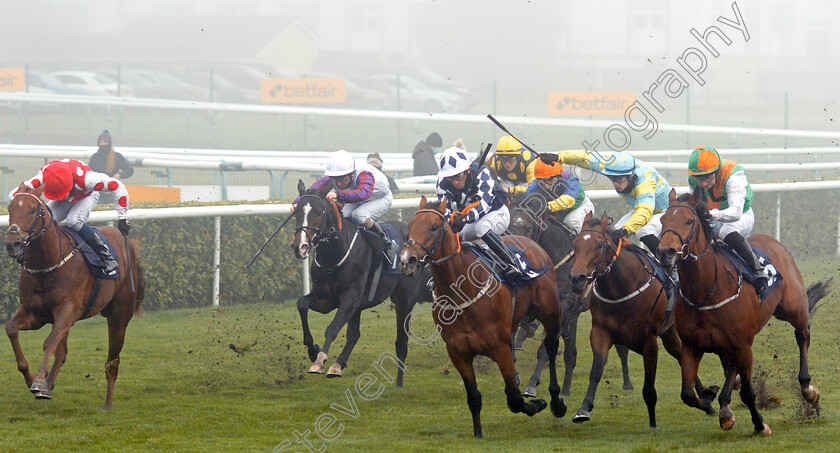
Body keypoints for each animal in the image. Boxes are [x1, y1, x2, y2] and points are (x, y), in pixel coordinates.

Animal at [2, 184, 144, 410]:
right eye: (10, 208)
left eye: (32, 210)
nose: (12, 243)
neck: (47, 265)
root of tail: (128, 245)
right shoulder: (34, 313)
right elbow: (11, 329)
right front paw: (33, 379)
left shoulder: (67, 308)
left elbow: (49, 342)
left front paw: (39, 381)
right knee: (63, 352)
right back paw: (49, 385)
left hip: (119, 316)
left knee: (112, 362)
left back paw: (107, 404)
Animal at [398, 197, 568, 438]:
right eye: (410, 227)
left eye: (434, 227)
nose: (407, 260)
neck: (462, 290)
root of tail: (532, 243)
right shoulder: (458, 352)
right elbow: (474, 397)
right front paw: (478, 433)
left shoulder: (500, 346)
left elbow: (514, 399)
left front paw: (537, 404)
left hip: (551, 313)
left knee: (551, 348)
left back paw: (556, 401)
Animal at [506, 193, 632, 396]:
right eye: (507, 225)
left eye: (528, 227)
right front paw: (515, 375)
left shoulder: (564, 307)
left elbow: (545, 348)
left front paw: (531, 384)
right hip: (574, 316)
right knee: (570, 354)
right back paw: (565, 389)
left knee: (621, 348)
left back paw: (627, 383)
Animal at [564, 214, 716, 426]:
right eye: (575, 244)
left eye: (600, 245)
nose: (576, 278)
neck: (621, 288)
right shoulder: (600, 332)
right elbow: (596, 371)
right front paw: (583, 409)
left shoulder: (649, 340)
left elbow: (649, 385)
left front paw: (652, 423)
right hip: (669, 333)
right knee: (680, 356)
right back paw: (705, 400)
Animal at [656, 188, 828, 434]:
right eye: (663, 220)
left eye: (688, 221)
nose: (665, 253)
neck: (707, 291)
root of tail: (774, 242)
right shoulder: (692, 345)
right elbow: (687, 394)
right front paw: (714, 402)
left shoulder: (743, 346)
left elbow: (748, 392)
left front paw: (760, 425)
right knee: (730, 368)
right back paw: (725, 405)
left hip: (793, 309)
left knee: (802, 334)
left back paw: (808, 388)